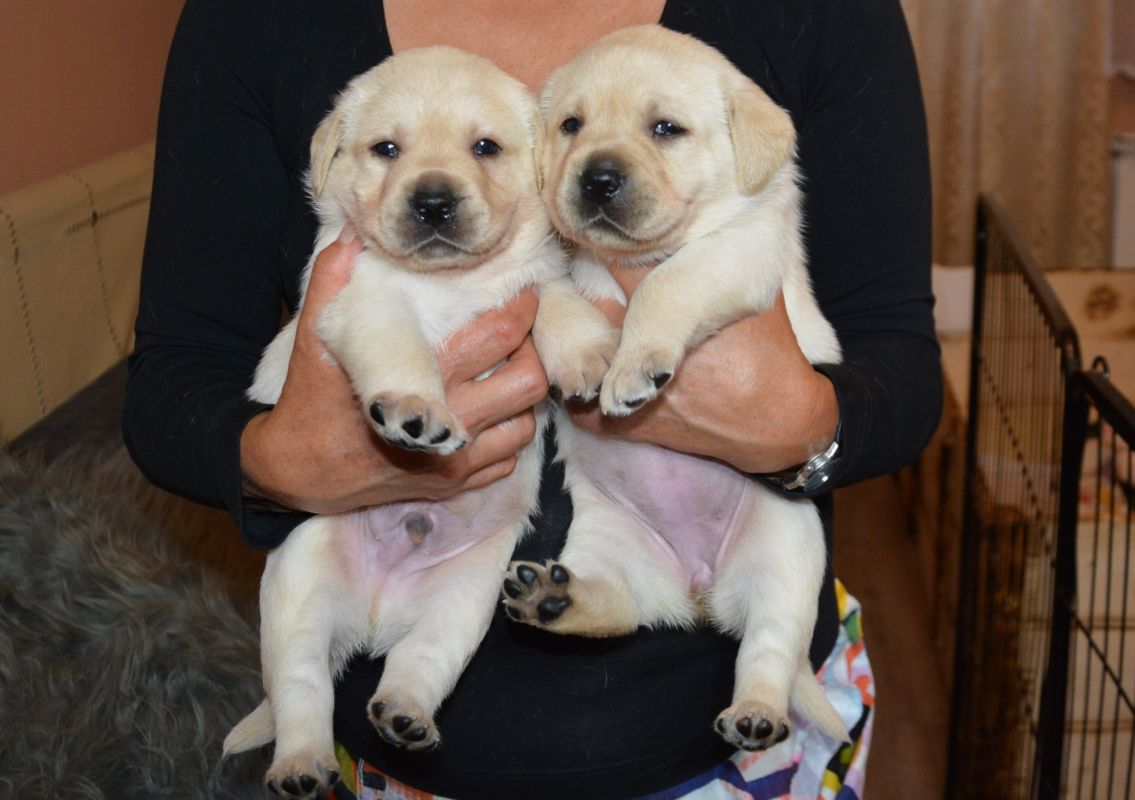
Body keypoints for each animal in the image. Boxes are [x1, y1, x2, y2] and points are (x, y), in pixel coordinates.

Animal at [222, 47, 575, 798]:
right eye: (387, 149)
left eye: (485, 147)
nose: (433, 199)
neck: (448, 283)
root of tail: (376, 617)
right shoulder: (363, 303)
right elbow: (401, 352)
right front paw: (418, 413)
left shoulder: (532, 281)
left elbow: (554, 301)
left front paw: (591, 354)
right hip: (298, 594)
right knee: (301, 689)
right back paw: (300, 765)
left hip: (467, 599)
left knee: (420, 661)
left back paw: (406, 715)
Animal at [501, 25, 851, 752]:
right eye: (571, 126)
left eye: (665, 129)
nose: (597, 178)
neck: (623, 256)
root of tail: (699, 588)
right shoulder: (548, 260)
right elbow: (548, 299)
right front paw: (583, 359)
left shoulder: (739, 250)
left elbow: (669, 282)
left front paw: (634, 366)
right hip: (608, 541)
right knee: (617, 607)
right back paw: (553, 600)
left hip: (787, 556)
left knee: (770, 649)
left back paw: (756, 713)